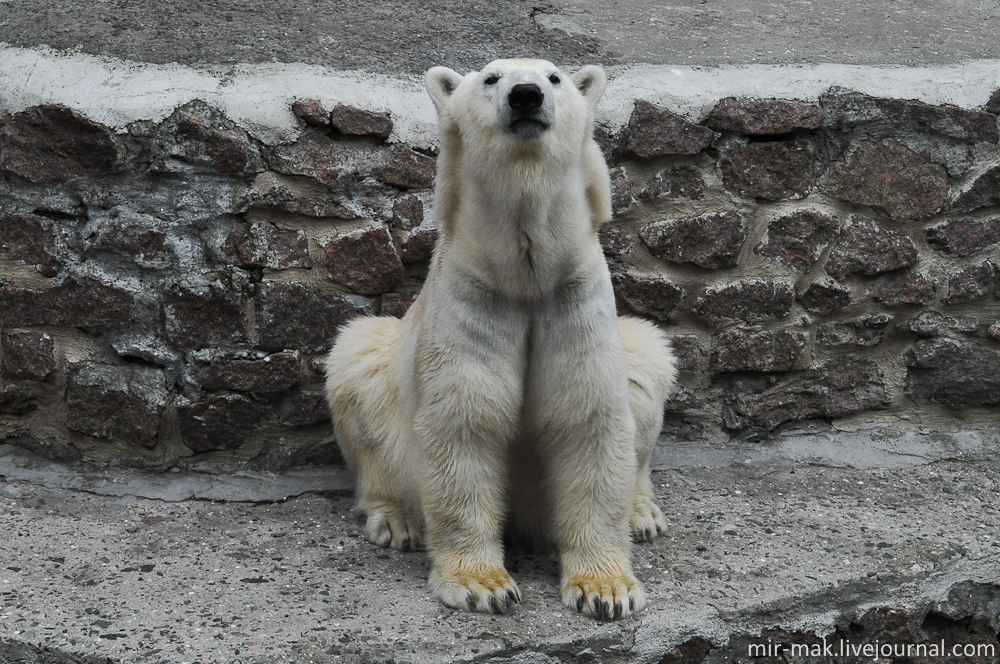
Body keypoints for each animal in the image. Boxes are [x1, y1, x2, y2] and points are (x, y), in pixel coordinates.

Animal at [324, 58, 676, 624]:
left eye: (554, 78)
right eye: (490, 79)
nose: (526, 95)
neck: (524, 275)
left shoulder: (572, 297)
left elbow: (591, 420)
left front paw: (606, 591)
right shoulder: (475, 298)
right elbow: (465, 426)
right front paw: (482, 585)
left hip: (634, 350)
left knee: (647, 366)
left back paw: (642, 514)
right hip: (375, 368)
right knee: (357, 365)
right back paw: (397, 520)